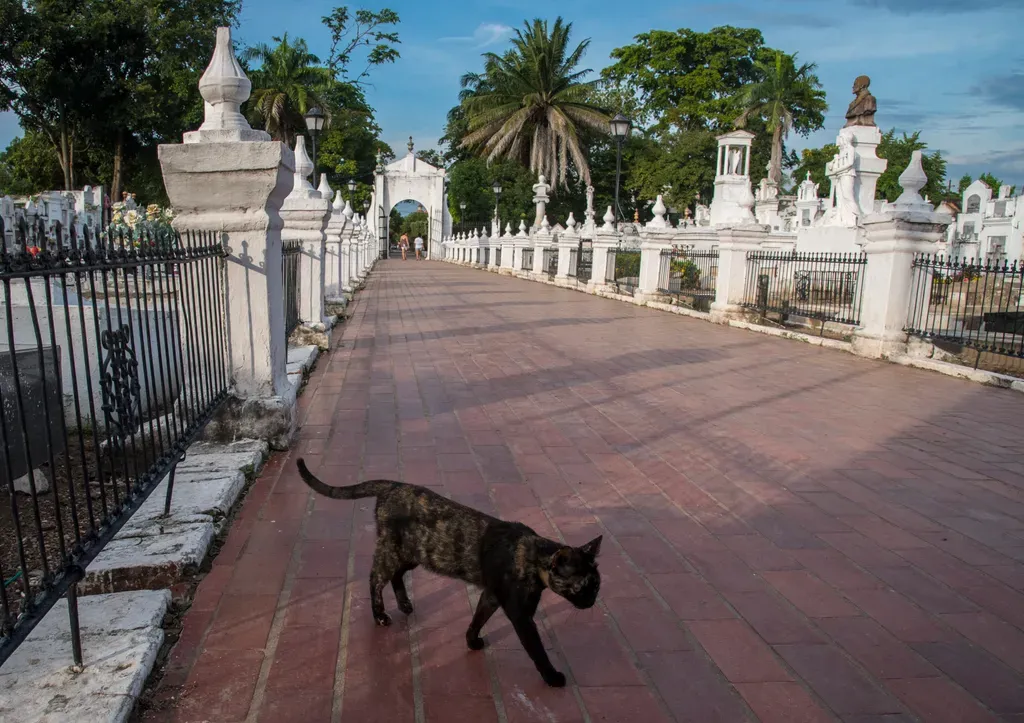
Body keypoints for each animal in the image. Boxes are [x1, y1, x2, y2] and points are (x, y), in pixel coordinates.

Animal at [296, 458, 598, 684]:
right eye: (582, 586)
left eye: (597, 585)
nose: (592, 601)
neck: (533, 557)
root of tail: (392, 485)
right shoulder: (520, 615)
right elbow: (536, 649)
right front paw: (552, 676)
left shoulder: (491, 595)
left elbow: (477, 618)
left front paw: (471, 641)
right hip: (393, 552)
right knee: (375, 578)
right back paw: (380, 615)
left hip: (415, 554)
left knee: (396, 576)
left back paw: (404, 604)